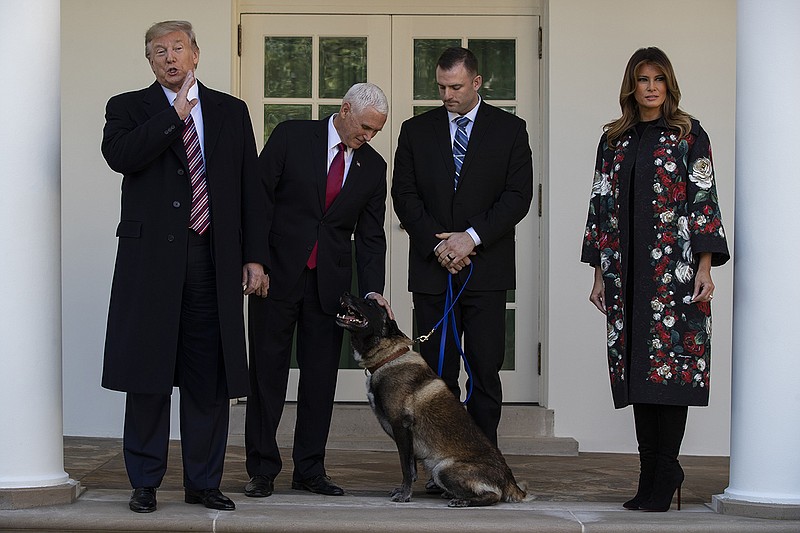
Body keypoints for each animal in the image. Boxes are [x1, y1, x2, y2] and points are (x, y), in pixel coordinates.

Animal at [334, 294, 528, 504]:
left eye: (368, 304)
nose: (344, 294)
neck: (389, 357)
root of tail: (509, 480)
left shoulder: (401, 427)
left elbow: (405, 467)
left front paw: (405, 494)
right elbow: (411, 468)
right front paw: (404, 490)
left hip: (442, 468)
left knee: (493, 496)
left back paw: (463, 500)